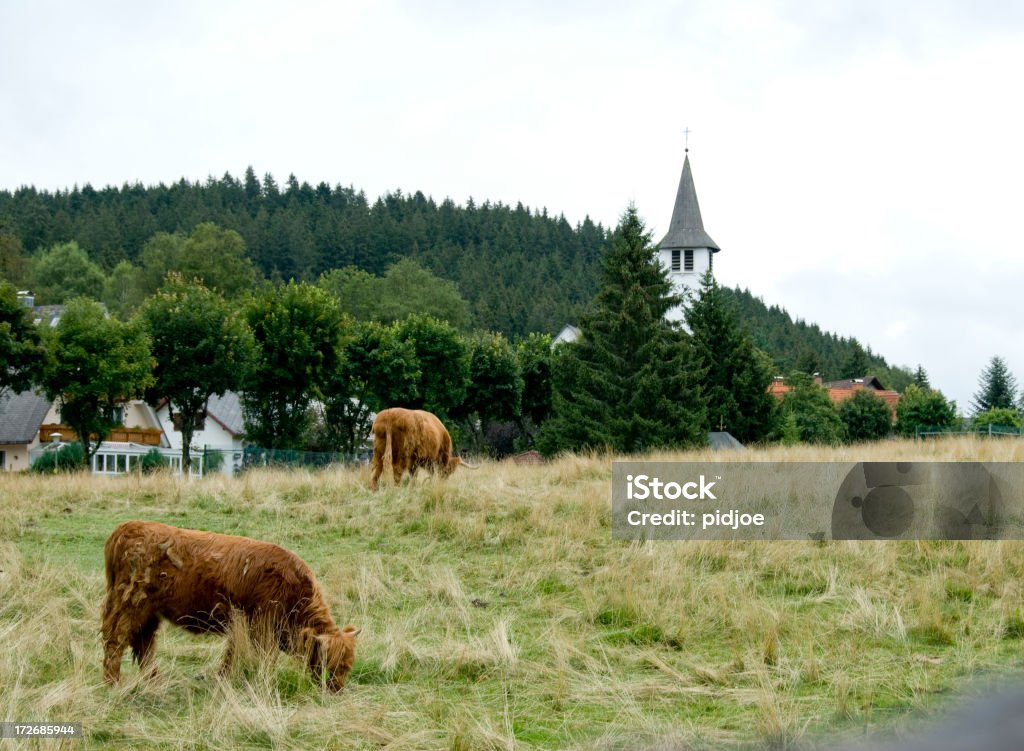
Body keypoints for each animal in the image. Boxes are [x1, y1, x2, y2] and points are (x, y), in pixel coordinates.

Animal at [102, 520, 360, 692]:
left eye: (347, 666)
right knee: (116, 638)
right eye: (330, 664)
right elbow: (264, 656)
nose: (336, 689)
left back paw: (155, 681)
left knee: (143, 644)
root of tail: (127, 528)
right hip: (130, 604)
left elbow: (233, 654)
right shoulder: (260, 625)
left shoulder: (241, 626)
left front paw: (223, 678)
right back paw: (112, 682)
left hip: (149, 612)